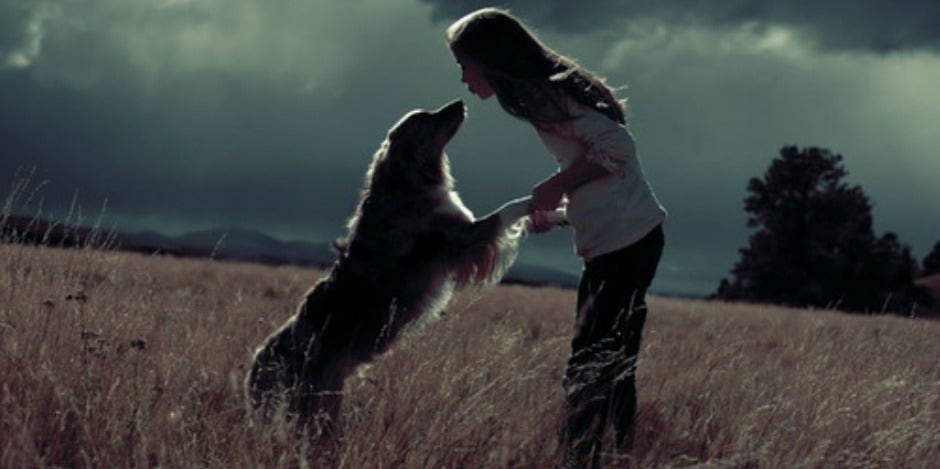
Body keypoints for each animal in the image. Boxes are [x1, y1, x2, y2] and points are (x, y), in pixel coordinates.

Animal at [246, 98, 560, 436]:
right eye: (428, 118)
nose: (460, 102)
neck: (408, 179)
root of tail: (261, 359)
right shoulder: (463, 238)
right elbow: (509, 209)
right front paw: (542, 200)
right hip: (318, 402)